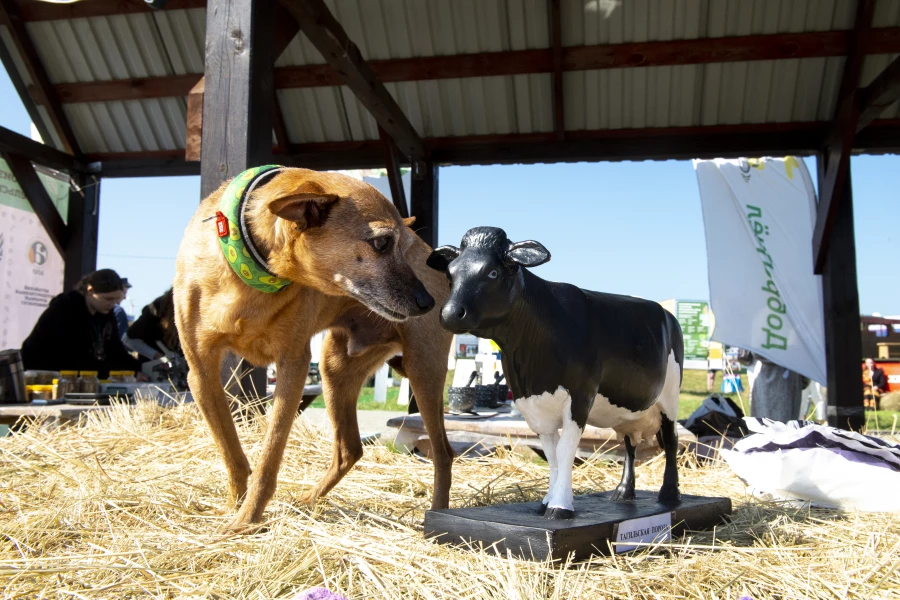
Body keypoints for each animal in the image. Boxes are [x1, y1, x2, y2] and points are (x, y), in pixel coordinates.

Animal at [174, 168, 458, 528]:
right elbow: (230, 450)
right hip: (334, 368)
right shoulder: (201, 373)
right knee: (350, 449)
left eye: (402, 247)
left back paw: (437, 516)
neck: (251, 276)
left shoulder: (292, 367)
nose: (427, 303)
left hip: (423, 371)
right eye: (381, 243)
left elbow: (269, 456)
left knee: (442, 453)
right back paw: (308, 501)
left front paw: (247, 519)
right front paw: (235, 505)